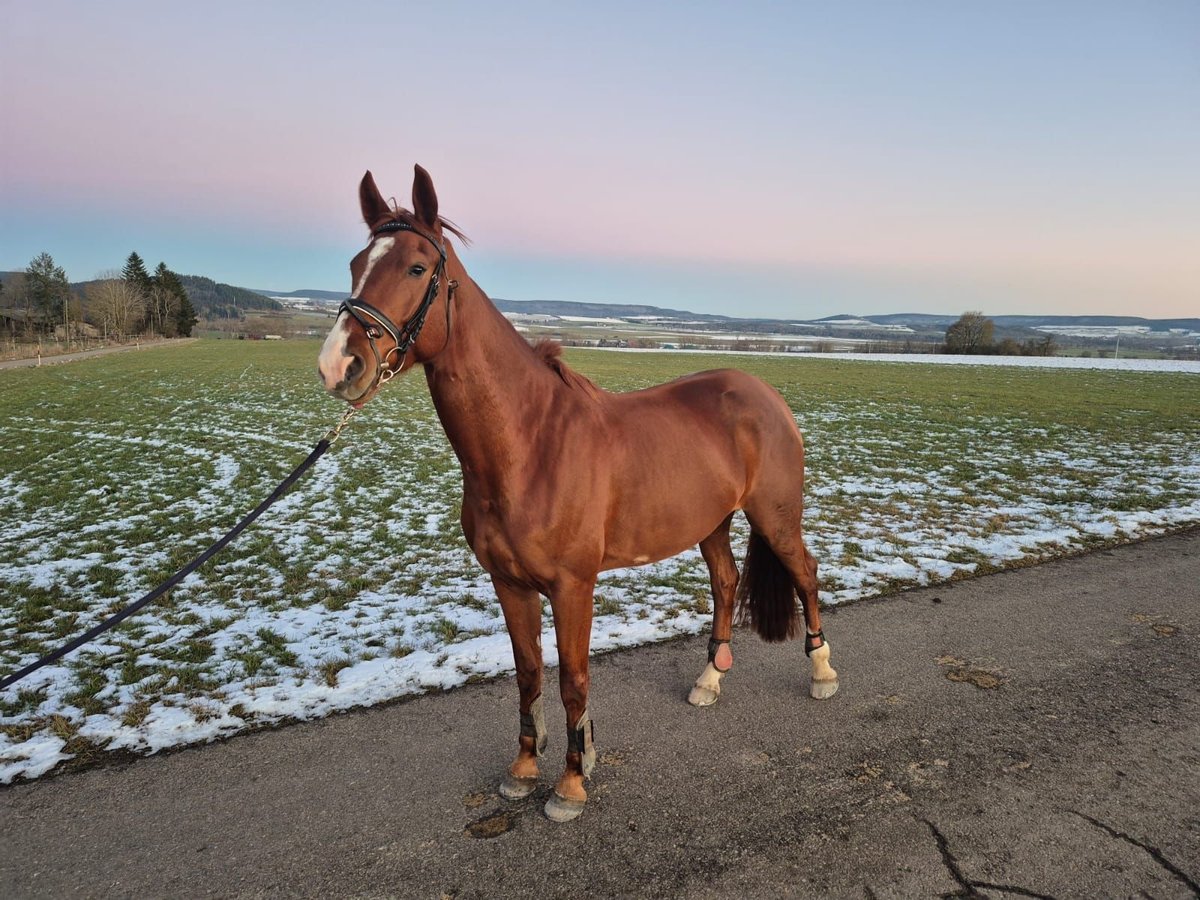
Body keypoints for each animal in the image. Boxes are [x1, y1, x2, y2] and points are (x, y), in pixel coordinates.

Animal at [324, 164, 840, 825]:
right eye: (355, 263)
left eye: (416, 267)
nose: (339, 364)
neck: (529, 445)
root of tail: (763, 392)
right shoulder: (510, 584)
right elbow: (528, 673)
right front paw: (523, 770)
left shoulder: (573, 587)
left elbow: (573, 678)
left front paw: (571, 781)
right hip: (712, 522)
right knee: (726, 583)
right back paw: (709, 680)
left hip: (775, 515)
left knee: (805, 573)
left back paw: (822, 672)